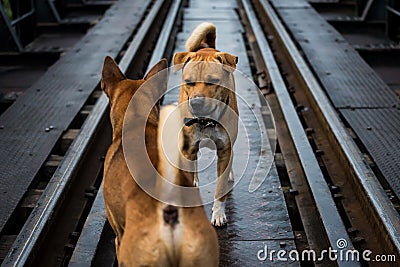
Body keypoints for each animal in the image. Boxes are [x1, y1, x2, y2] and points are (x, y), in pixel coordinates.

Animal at [173, 22, 239, 226]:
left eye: (213, 82)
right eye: (189, 82)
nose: (196, 103)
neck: (207, 120)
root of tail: (206, 47)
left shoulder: (224, 149)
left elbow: (220, 189)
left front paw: (218, 213)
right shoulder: (188, 146)